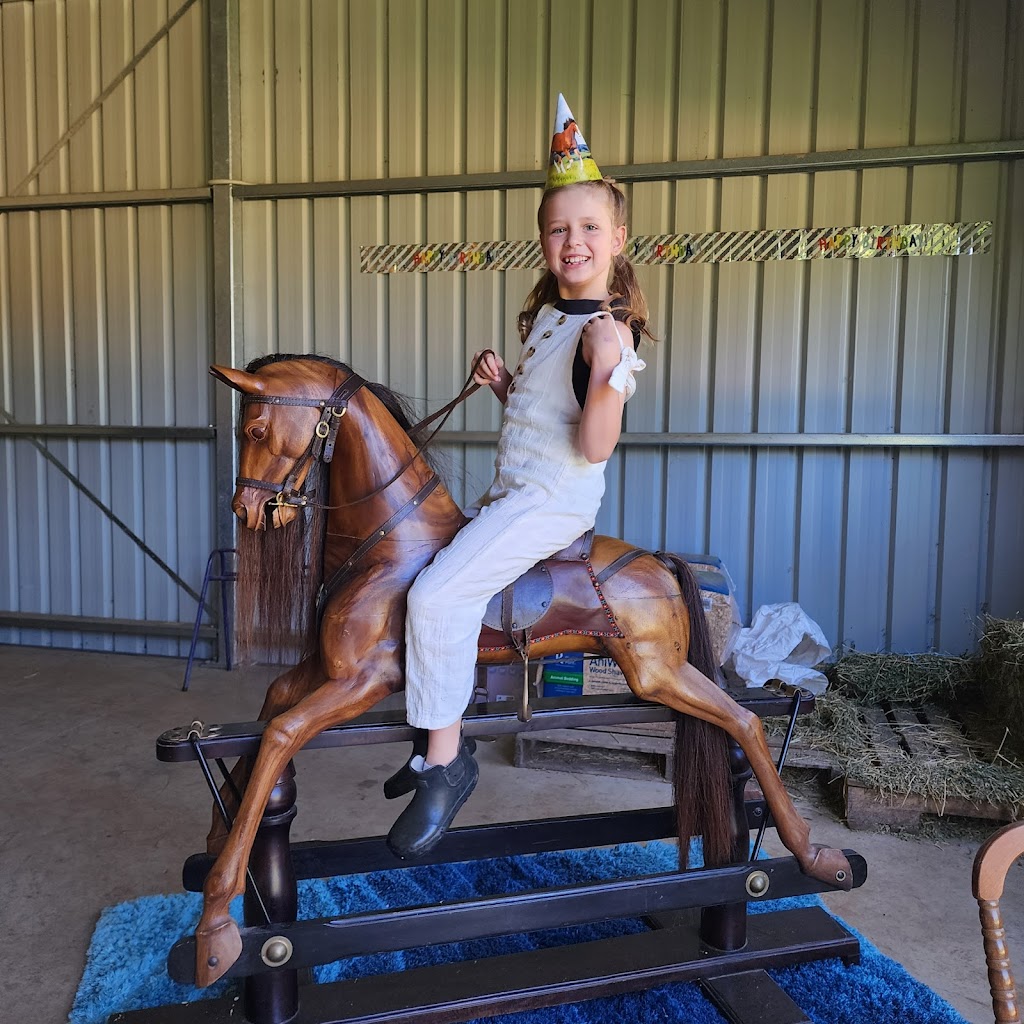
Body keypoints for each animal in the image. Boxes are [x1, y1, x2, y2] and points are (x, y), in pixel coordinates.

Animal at [193, 352, 853, 988]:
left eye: (255, 428)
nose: (245, 509)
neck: (391, 544)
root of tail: (661, 562)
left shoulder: (365, 679)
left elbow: (280, 734)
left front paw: (215, 930)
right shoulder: (323, 670)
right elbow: (271, 705)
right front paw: (216, 835)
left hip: (656, 671)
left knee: (746, 722)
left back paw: (819, 857)